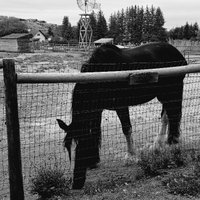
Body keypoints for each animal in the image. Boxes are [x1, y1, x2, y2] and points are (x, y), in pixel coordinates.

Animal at [57, 42, 187, 189]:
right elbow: (96, 132)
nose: (76, 184)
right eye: (69, 149)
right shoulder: (98, 109)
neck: (102, 72)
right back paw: (157, 145)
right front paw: (95, 160)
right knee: (166, 117)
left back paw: (172, 144)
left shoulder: (121, 106)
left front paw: (131, 156)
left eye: (83, 144)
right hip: (164, 94)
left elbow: (126, 128)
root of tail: (178, 53)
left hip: (173, 91)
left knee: (174, 116)